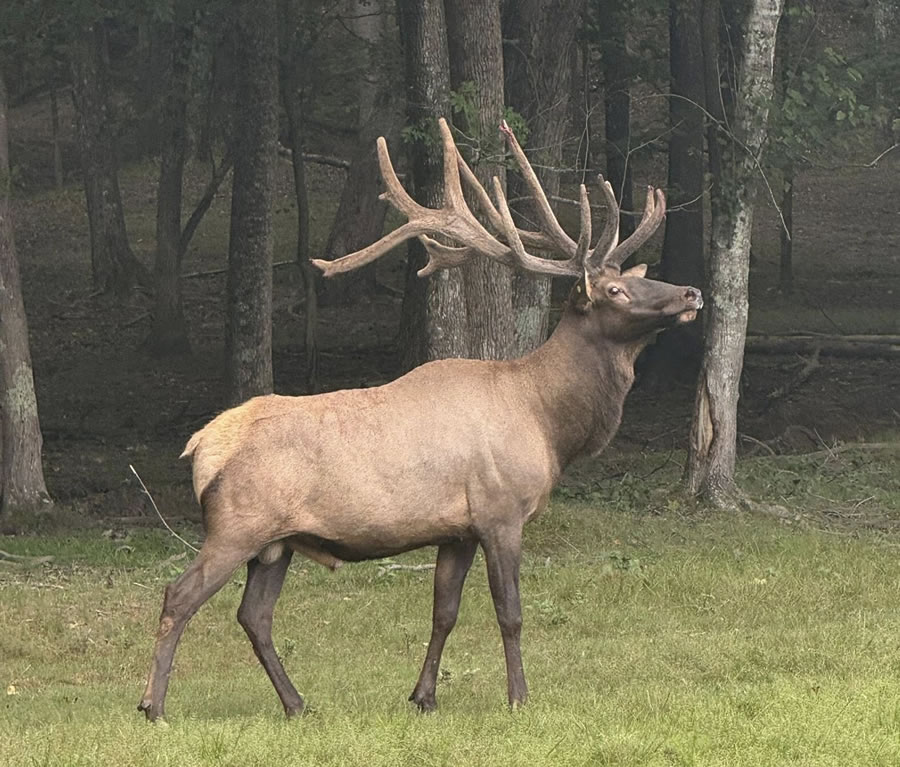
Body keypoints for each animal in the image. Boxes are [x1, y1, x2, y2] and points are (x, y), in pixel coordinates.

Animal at [137, 117, 702, 722]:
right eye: (615, 289)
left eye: (637, 277)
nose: (691, 290)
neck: (548, 423)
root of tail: (201, 447)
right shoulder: (500, 511)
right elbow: (510, 612)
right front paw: (519, 697)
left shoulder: (456, 530)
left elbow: (444, 612)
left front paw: (423, 696)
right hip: (237, 524)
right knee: (180, 595)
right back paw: (154, 706)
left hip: (277, 542)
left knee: (254, 615)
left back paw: (297, 703)